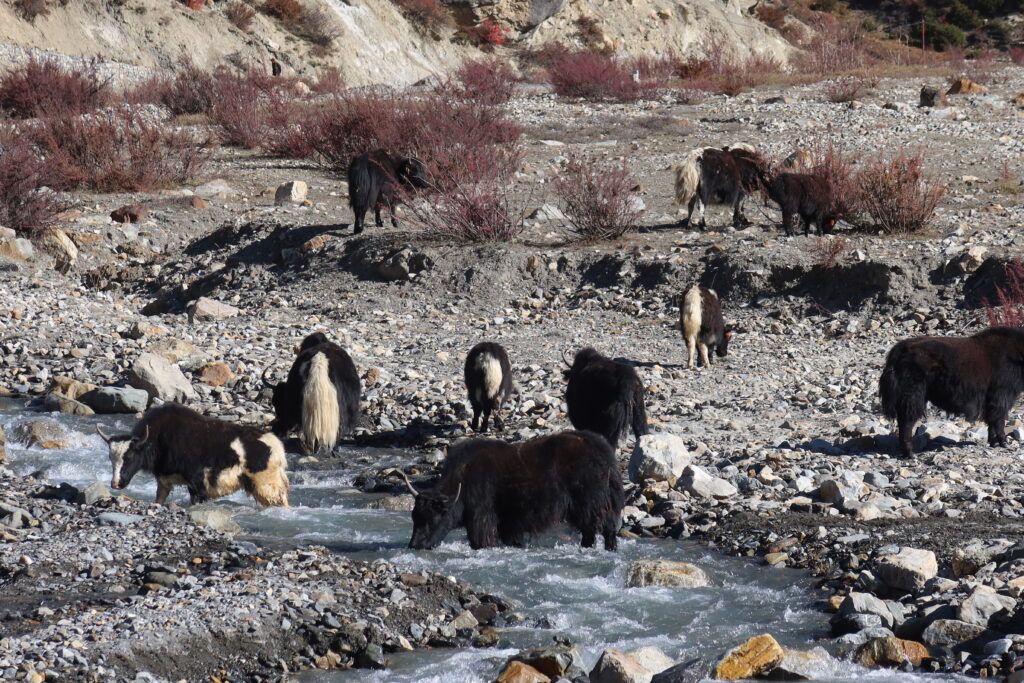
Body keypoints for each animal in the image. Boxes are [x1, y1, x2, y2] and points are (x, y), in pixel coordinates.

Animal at [96, 405, 288, 507]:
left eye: (129, 457)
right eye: (110, 459)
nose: (116, 484)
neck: (158, 439)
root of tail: (277, 447)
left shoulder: (197, 483)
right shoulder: (164, 481)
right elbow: (159, 499)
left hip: (266, 485)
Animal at [403, 432, 618, 548]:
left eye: (433, 518)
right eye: (414, 517)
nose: (414, 545)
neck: (462, 480)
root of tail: (603, 451)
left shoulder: (482, 519)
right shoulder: (509, 525)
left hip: (591, 503)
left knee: (600, 528)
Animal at [876, 327, 1024, 458]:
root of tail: (898, 352)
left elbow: (992, 420)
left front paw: (993, 442)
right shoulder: (1002, 395)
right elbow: (999, 419)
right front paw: (1003, 442)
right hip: (912, 397)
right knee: (906, 422)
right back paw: (910, 453)